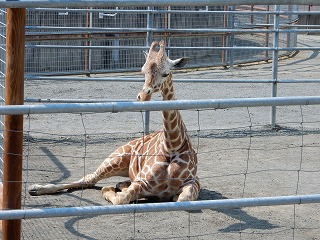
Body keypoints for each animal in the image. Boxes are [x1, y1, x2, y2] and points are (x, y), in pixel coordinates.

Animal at [29, 39, 200, 204]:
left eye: (165, 73)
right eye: (142, 71)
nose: (143, 96)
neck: (172, 146)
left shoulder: (194, 182)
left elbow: (182, 198)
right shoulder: (142, 182)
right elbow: (120, 198)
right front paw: (111, 190)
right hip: (116, 158)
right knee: (89, 178)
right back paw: (35, 188)